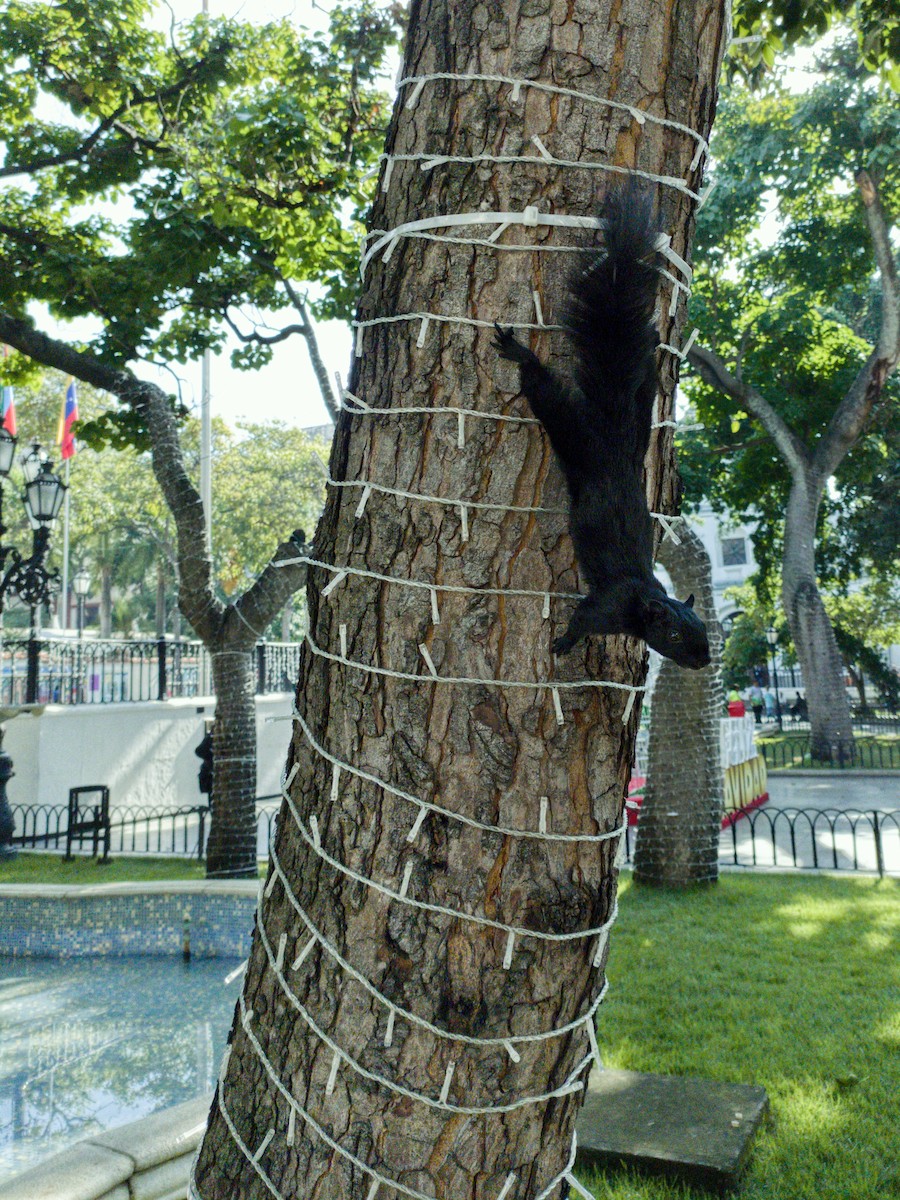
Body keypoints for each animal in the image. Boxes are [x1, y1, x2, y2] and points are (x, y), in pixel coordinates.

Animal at [492, 186, 710, 670]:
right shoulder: (607, 606)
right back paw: (519, 353)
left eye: (703, 628)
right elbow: (583, 619)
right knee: (542, 389)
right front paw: (564, 643)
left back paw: (652, 347)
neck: (643, 598)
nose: (704, 660)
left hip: (641, 414)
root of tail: (614, 439)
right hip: (574, 434)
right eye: (672, 632)